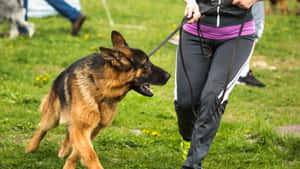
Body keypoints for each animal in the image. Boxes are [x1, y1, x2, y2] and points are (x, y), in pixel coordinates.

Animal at [26, 30, 170, 169]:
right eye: (146, 65)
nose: (169, 75)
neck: (101, 89)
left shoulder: (94, 128)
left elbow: (80, 152)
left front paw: (70, 163)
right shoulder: (83, 128)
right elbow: (90, 154)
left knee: (69, 132)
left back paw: (64, 149)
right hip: (53, 116)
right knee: (42, 128)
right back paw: (31, 147)